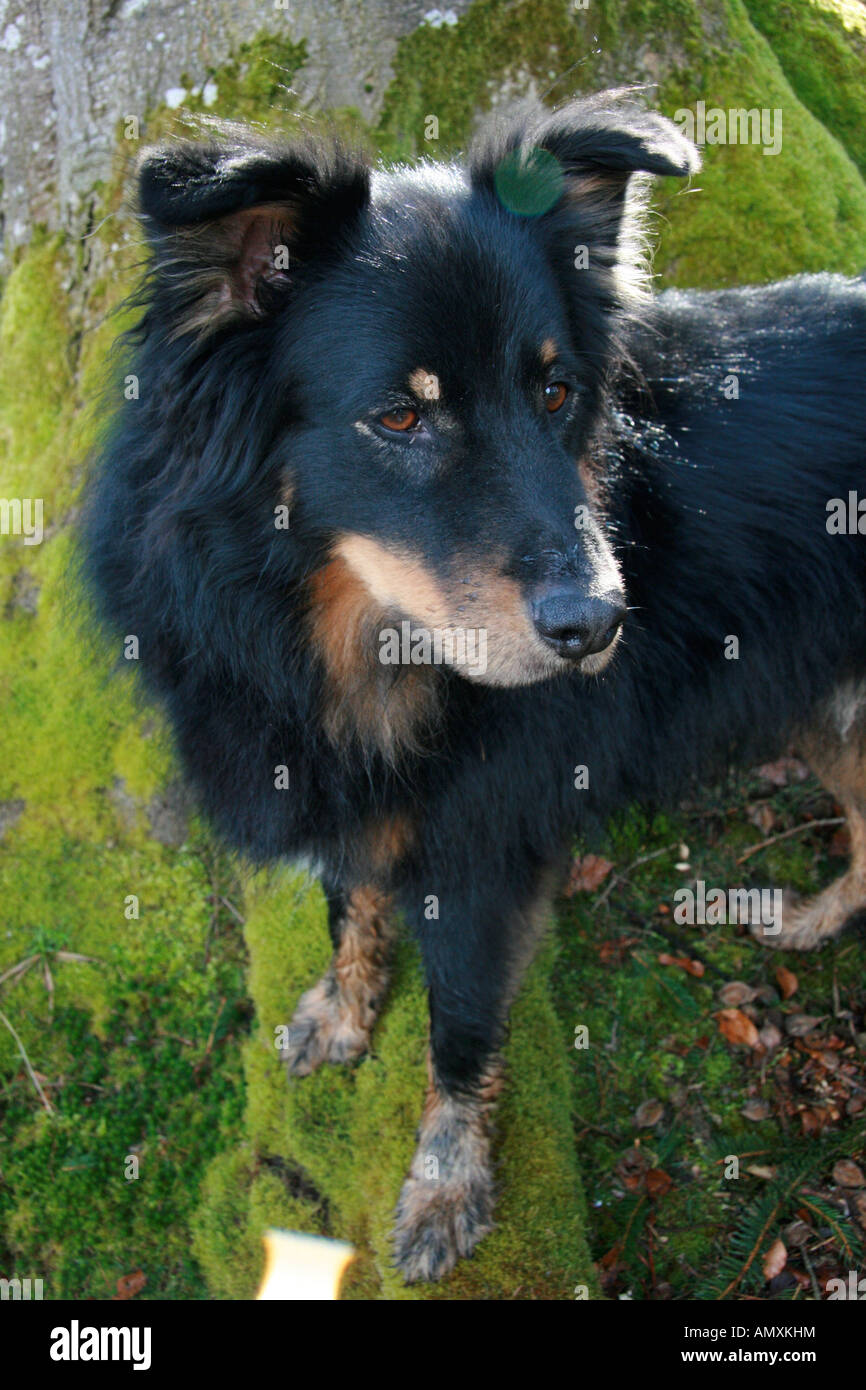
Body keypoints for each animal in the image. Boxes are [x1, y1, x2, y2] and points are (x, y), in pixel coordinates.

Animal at [83, 95, 866, 1278]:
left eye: (555, 392)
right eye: (401, 418)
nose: (599, 625)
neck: (345, 642)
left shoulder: (484, 849)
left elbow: (458, 1033)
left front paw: (444, 1191)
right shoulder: (342, 787)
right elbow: (350, 906)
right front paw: (340, 1013)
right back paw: (817, 918)